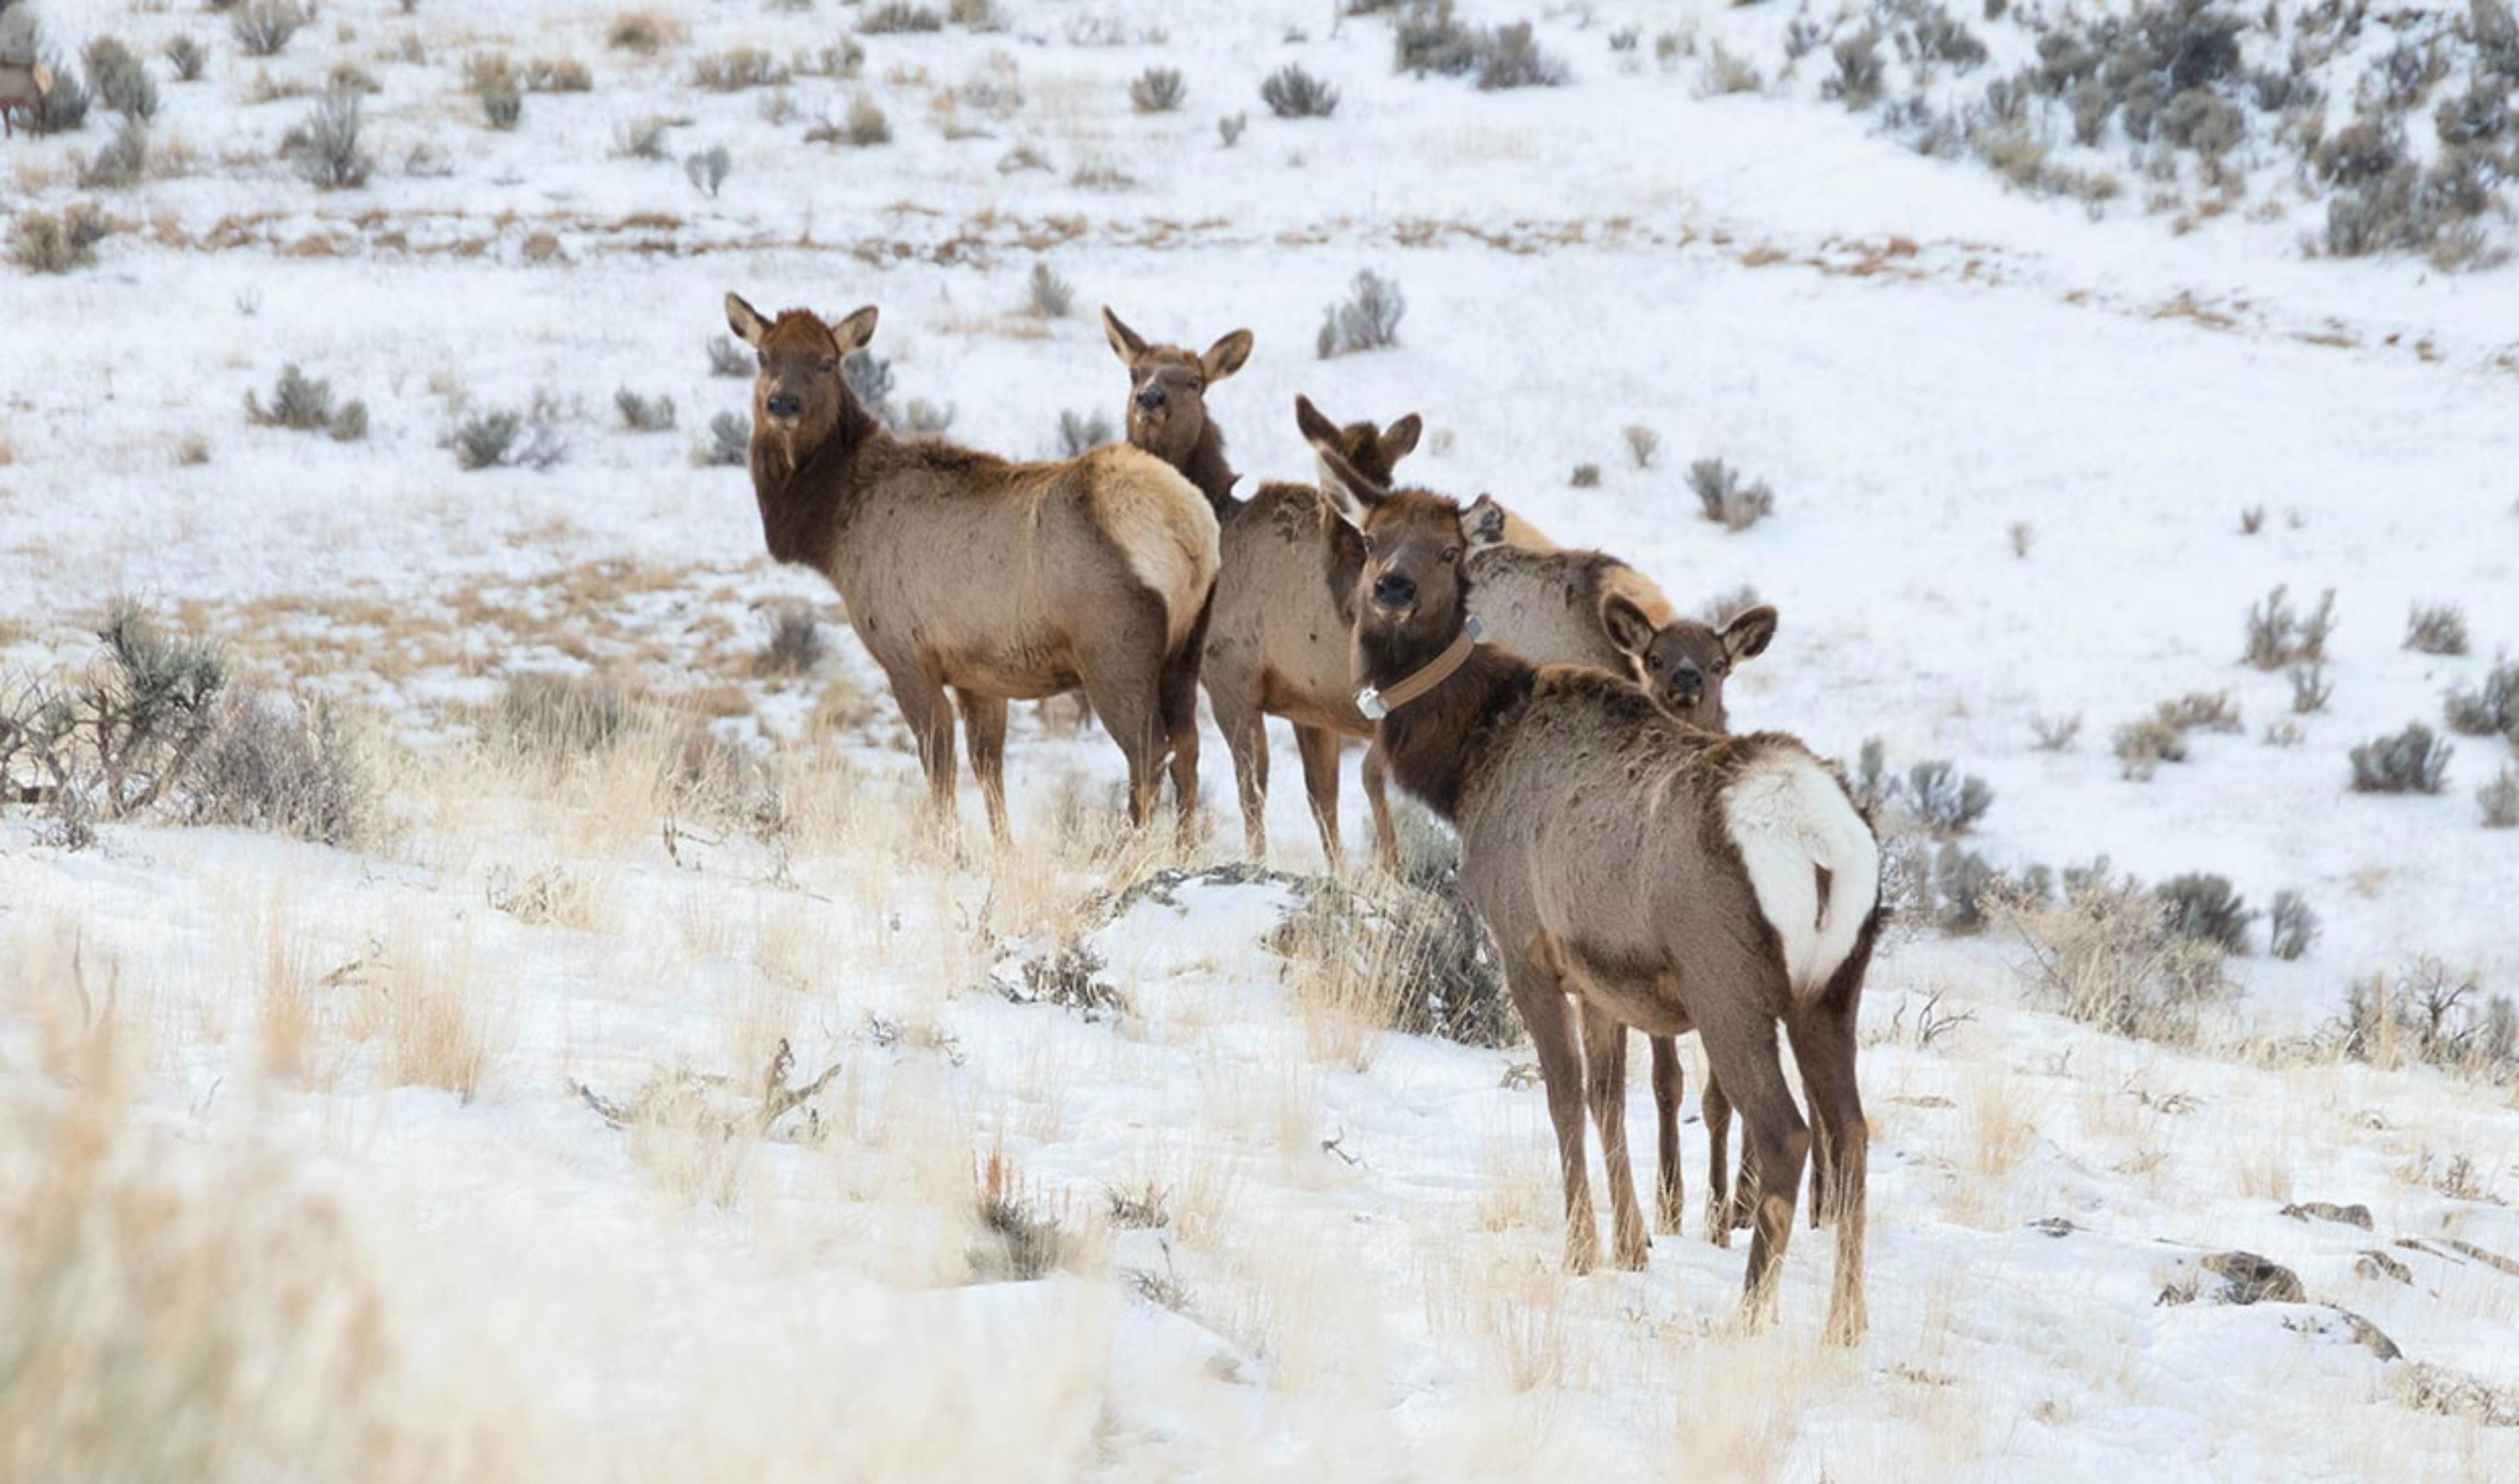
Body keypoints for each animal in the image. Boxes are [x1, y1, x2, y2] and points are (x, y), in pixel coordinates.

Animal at [731, 295, 1219, 841]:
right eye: (763, 357)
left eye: (826, 362)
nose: (783, 405)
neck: (833, 530)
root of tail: (1192, 530)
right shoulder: (978, 671)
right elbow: (988, 765)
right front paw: (1003, 847)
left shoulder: (907, 654)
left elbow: (939, 761)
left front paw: (950, 847)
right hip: (1187, 646)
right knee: (1189, 750)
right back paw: (1182, 849)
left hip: (1115, 649)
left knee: (1149, 751)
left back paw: (1127, 847)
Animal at [1103, 310, 1552, 866]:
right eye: (1133, 372)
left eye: (1195, 381)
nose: (1150, 401)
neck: (1219, 525)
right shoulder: (1309, 706)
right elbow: (1323, 801)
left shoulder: (1233, 677)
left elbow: (1252, 786)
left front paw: (1255, 861)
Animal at [1310, 423, 1884, 1350]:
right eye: (1375, 536)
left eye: (1447, 549)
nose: (1392, 588)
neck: (1467, 762)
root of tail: (1822, 840)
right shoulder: (1601, 976)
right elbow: (1611, 1099)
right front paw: (1632, 1244)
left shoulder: (1525, 944)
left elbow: (1564, 1097)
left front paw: (1580, 1249)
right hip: (1833, 988)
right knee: (1856, 1133)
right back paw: (1845, 1322)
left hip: (1730, 982)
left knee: (1789, 1133)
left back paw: (1748, 1315)